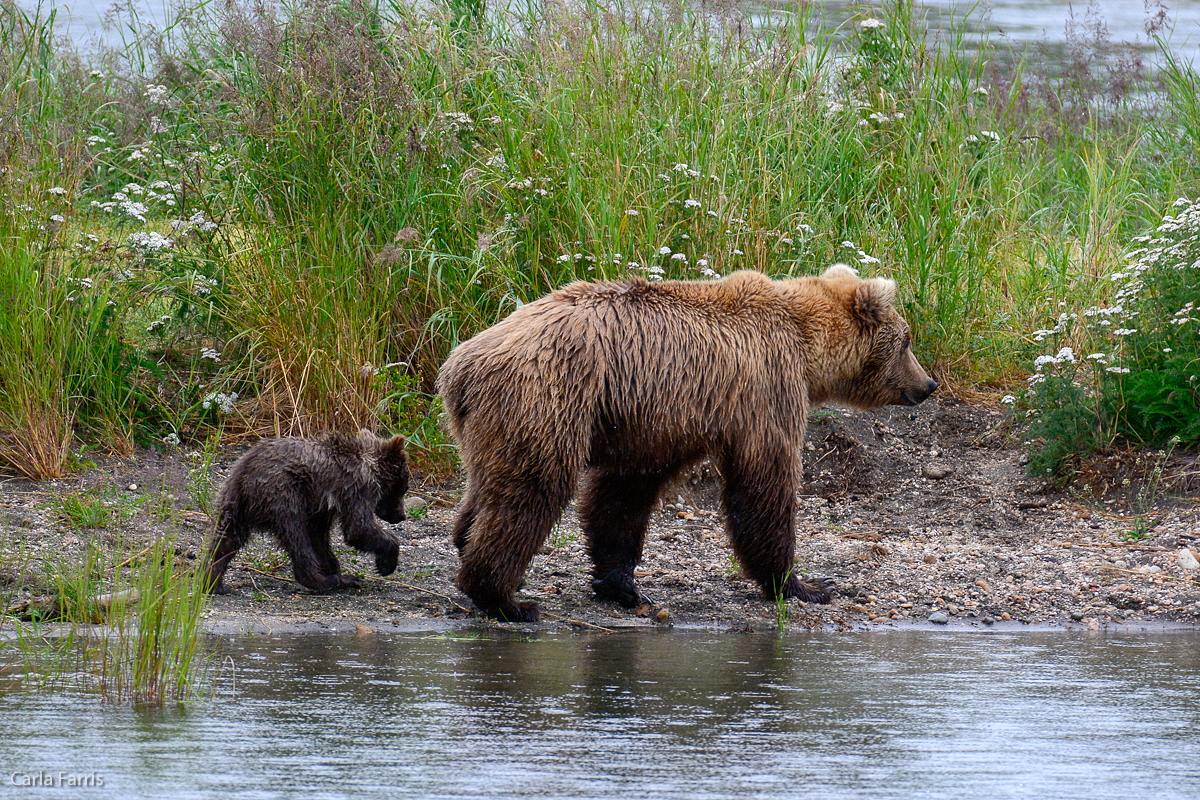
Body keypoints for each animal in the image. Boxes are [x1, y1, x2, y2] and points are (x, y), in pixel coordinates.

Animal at [441, 266, 936, 623]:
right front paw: (806, 584)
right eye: (907, 340)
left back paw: (466, 542)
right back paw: (504, 597)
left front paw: (623, 586)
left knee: (488, 487)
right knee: (532, 491)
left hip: (496, 424)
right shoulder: (764, 391)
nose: (928, 384)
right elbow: (764, 484)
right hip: (548, 399)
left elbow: (623, 494)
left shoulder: (658, 419)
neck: (807, 346)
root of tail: (460, 365)